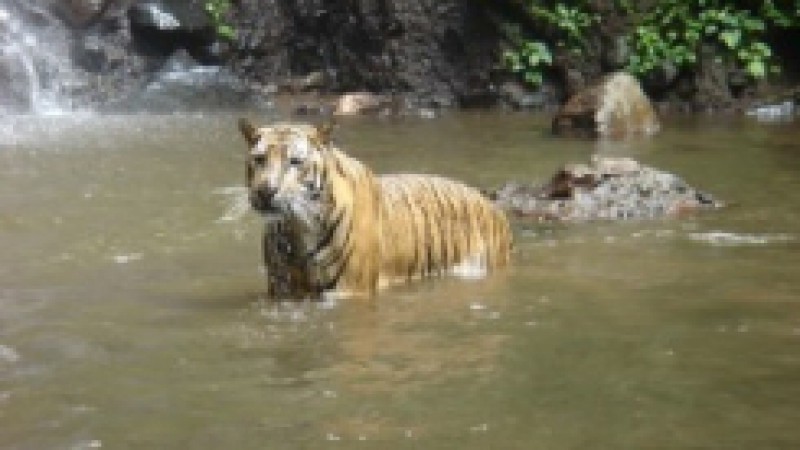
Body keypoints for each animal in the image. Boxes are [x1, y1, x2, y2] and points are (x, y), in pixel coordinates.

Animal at [239, 118, 512, 298]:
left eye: (295, 161)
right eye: (259, 159)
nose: (265, 191)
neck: (298, 225)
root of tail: (494, 207)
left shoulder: (350, 290)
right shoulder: (282, 292)